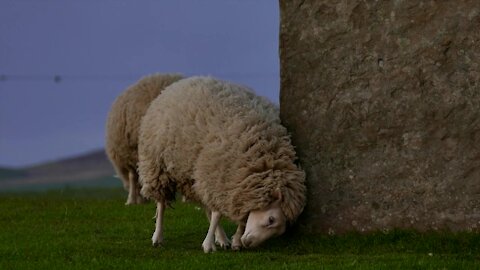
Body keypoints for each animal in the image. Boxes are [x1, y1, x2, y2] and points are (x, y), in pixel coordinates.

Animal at [137, 76, 306, 253]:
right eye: (271, 219)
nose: (248, 243)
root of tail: (182, 82)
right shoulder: (220, 175)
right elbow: (218, 214)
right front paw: (209, 244)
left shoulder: (236, 187)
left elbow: (236, 216)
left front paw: (236, 241)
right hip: (157, 166)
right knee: (161, 203)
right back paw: (158, 236)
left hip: (193, 175)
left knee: (206, 206)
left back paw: (222, 238)